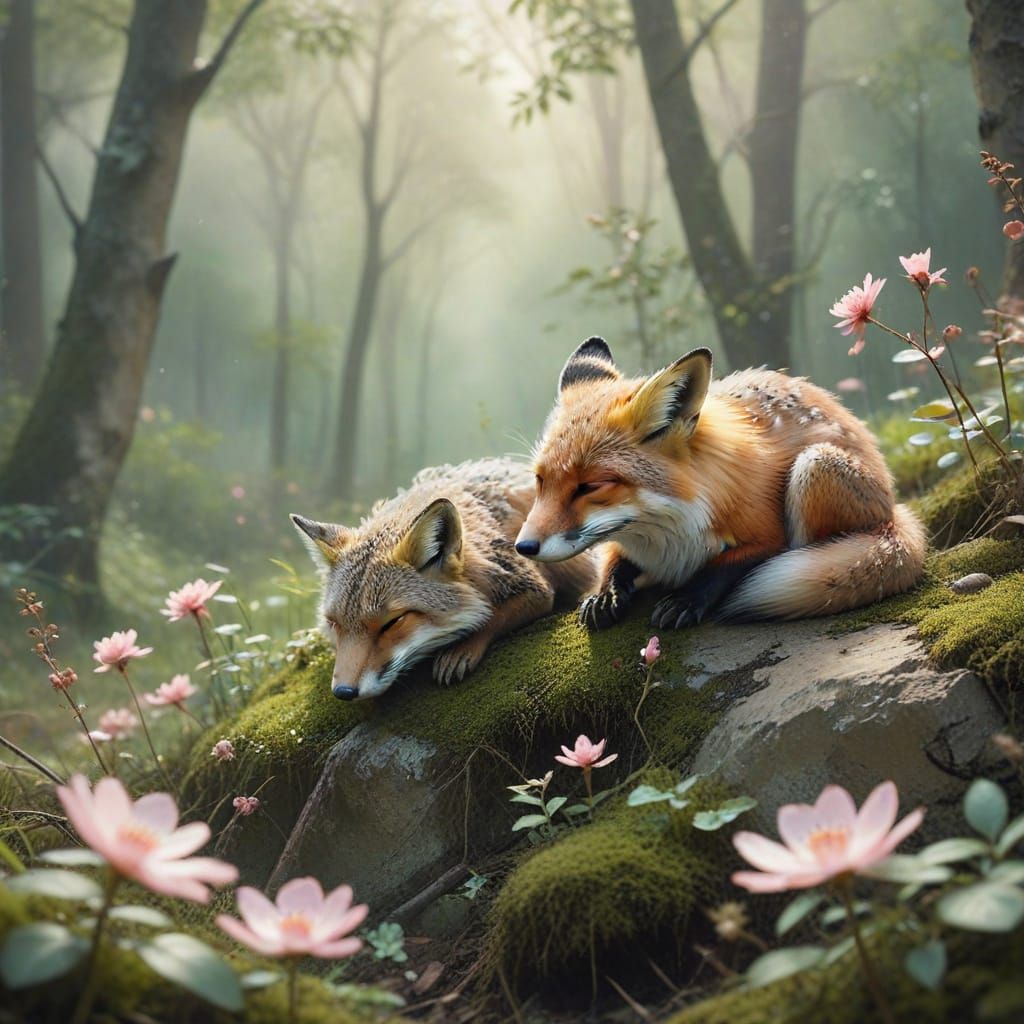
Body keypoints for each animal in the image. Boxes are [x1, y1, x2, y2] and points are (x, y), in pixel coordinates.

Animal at [291, 458, 595, 701]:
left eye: (392, 622)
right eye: (335, 624)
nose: (343, 692)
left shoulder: (532, 586)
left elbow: (493, 617)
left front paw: (460, 650)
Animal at [514, 337, 927, 630]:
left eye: (590, 486)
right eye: (540, 481)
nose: (524, 547)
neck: (667, 536)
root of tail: (893, 507)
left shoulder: (767, 534)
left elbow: (728, 565)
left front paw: (688, 598)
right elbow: (614, 560)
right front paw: (606, 592)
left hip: (814, 467)